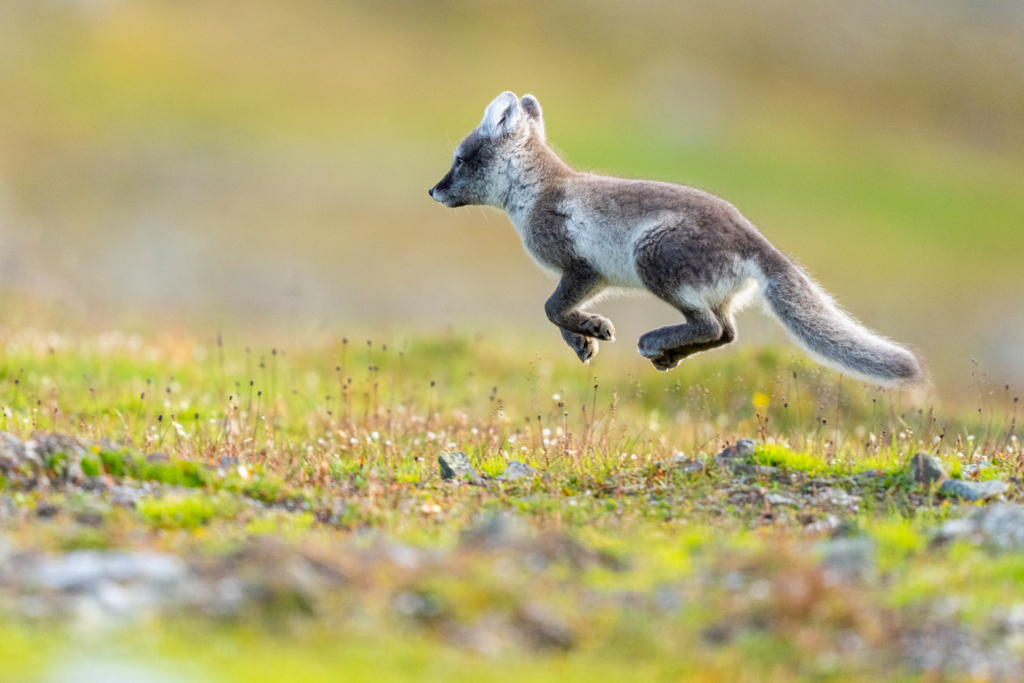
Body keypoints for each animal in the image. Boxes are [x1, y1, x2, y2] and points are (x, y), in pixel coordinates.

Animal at [428, 92, 925, 389]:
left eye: (459, 159)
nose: (433, 191)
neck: (537, 193)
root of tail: (755, 239)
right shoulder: (594, 278)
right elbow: (555, 312)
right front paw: (583, 340)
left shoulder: (583, 268)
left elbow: (551, 308)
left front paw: (591, 329)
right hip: (707, 292)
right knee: (727, 332)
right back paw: (667, 354)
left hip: (651, 258)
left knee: (711, 327)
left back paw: (656, 343)